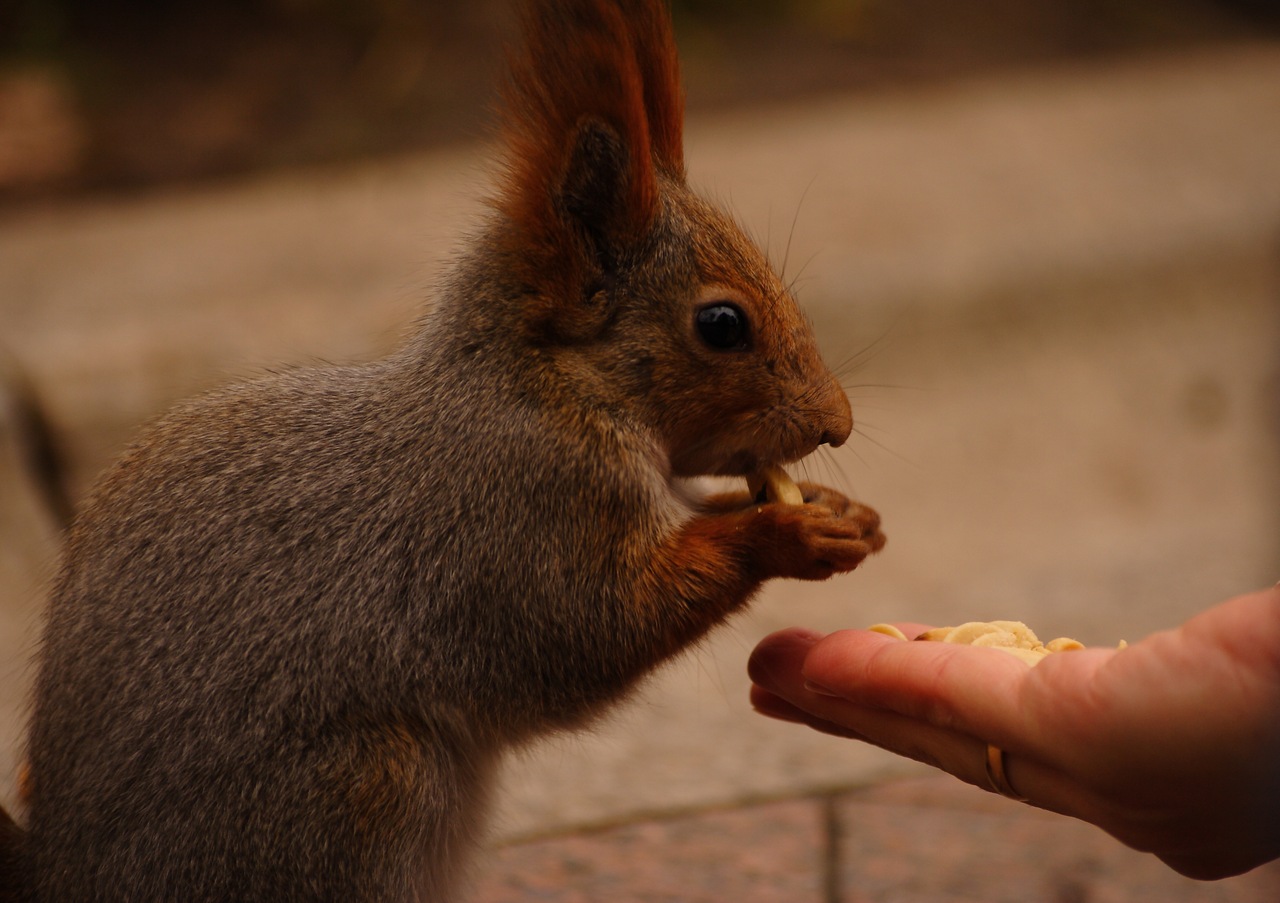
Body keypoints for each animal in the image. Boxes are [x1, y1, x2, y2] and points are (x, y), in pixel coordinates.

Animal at [2, 1, 880, 901]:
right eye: (721, 324)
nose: (837, 424)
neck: (543, 386)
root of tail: (63, 871)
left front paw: (836, 509)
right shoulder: (516, 515)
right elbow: (588, 628)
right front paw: (784, 533)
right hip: (362, 793)